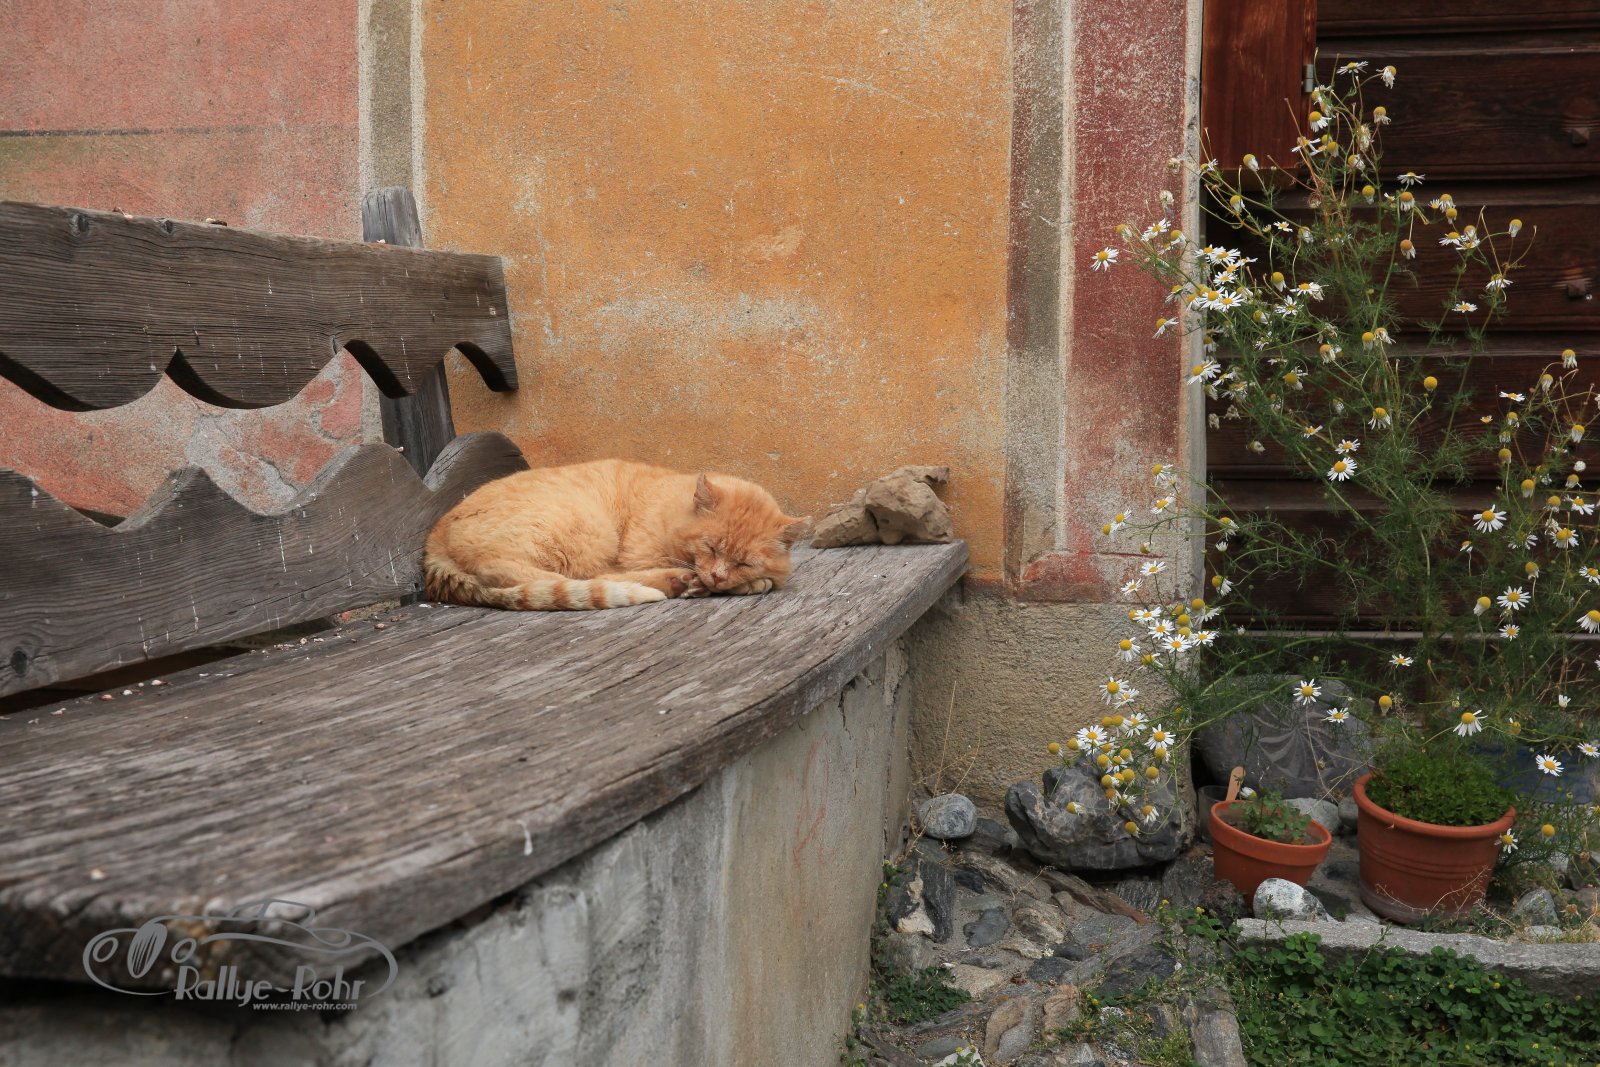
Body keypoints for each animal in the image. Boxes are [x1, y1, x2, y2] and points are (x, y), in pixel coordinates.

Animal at [423, 459, 809, 611]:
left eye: (744, 562)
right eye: (711, 546)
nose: (717, 575)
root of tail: (433, 538)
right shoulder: (636, 556)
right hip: (587, 526)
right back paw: (677, 581)